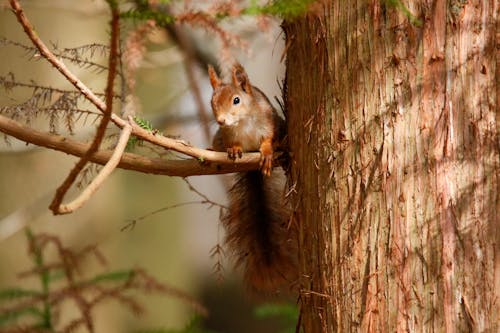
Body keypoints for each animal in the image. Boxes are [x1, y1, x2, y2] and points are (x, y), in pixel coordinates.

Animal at [207, 63, 296, 292]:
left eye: (236, 100)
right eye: (212, 102)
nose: (220, 120)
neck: (242, 122)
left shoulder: (269, 123)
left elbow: (268, 140)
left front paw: (266, 152)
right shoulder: (226, 135)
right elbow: (233, 144)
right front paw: (234, 150)